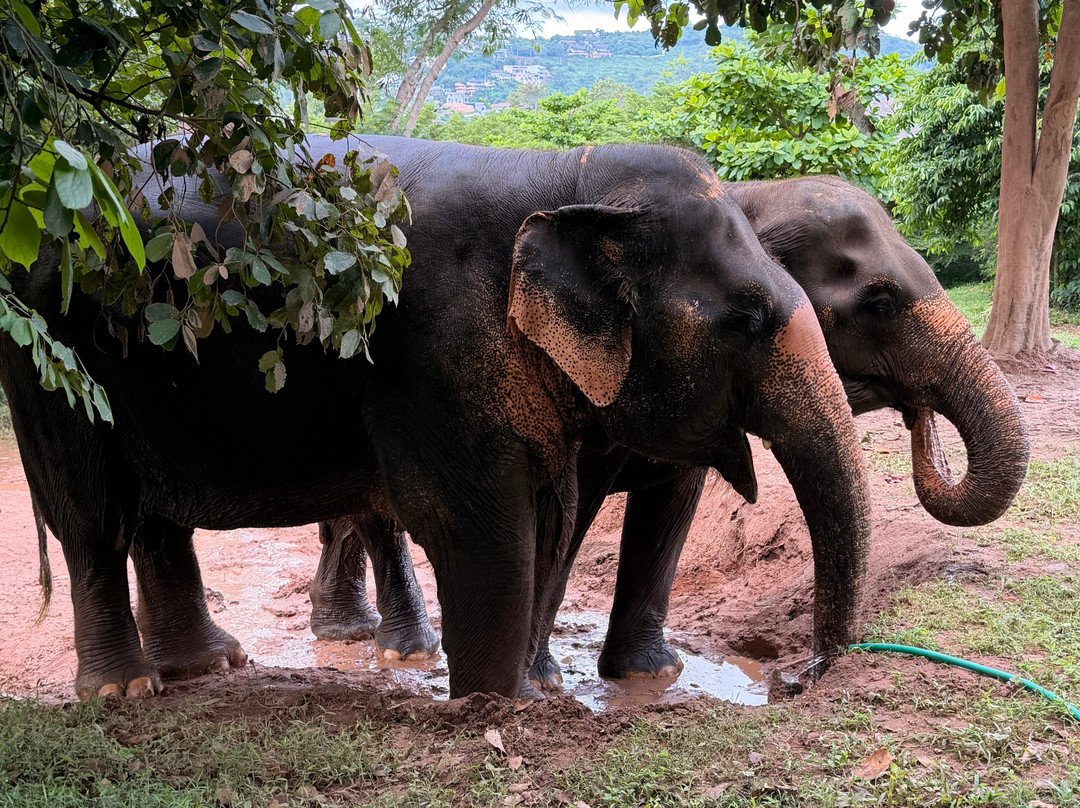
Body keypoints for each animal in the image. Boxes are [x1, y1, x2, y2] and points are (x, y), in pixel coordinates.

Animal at [6, 137, 871, 700]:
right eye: (747, 318)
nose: (799, 680)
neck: (559, 176)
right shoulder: (432, 349)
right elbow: (479, 523)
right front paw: (497, 704)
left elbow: (550, 517)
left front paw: (530, 695)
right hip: (50, 361)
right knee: (94, 518)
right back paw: (124, 693)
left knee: (155, 522)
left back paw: (209, 669)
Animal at [303, 173, 1030, 690]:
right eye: (879, 303)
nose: (801, 677)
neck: (749, 193)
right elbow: (573, 511)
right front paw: (545, 681)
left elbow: (673, 503)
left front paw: (653, 674)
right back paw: (399, 651)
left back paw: (344, 631)